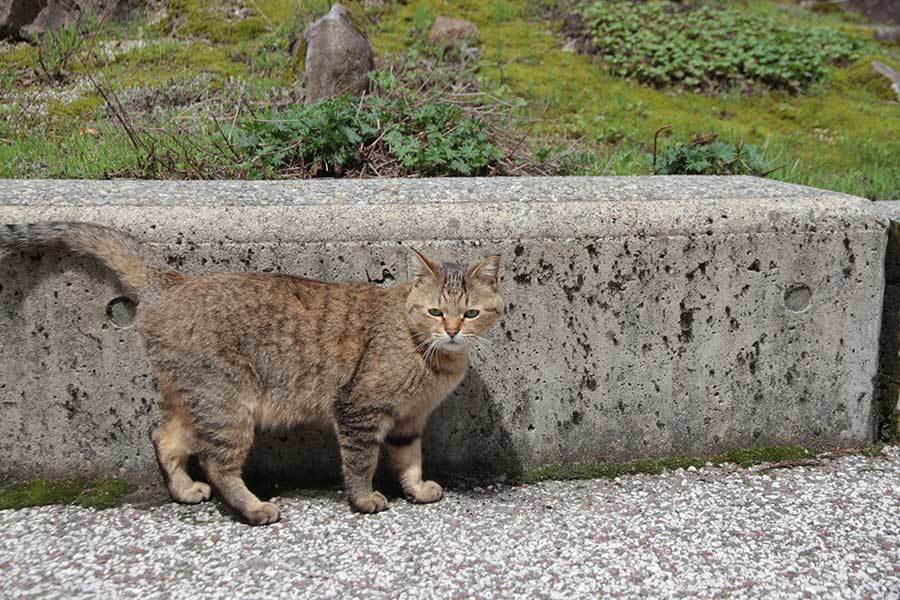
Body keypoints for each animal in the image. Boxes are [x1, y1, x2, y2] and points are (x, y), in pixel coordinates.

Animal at [0, 221, 502, 524]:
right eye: (435, 311)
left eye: (471, 313)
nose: (453, 330)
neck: (434, 361)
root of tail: (173, 281)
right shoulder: (359, 411)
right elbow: (361, 464)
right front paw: (364, 500)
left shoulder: (409, 421)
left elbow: (410, 459)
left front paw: (416, 489)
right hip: (228, 408)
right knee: (218, 463)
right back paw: (255, 508)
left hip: (195, 400)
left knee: (165, 440)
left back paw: (185, 490)